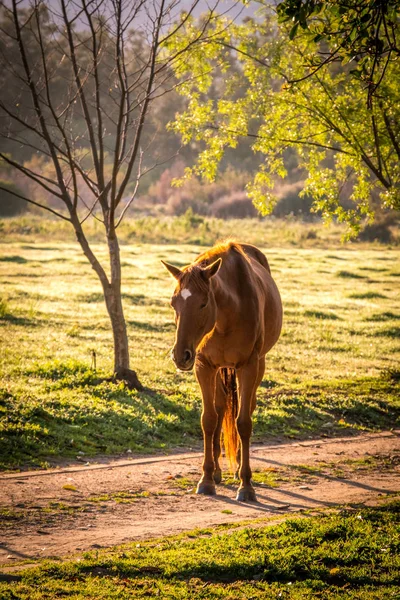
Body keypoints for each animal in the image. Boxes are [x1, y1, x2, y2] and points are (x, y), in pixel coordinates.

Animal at [161, 240, 282, 502]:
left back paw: (236, 471)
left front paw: (246, 485)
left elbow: (243, 422)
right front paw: (206, 479)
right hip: (218, 371)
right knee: (218, 408)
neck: (227, 317)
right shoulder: (204, 366)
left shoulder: (248, 366)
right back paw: (217, 471)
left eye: (203, 303)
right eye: (173, 303)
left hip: (258, 366)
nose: (180, 355)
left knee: (246, 407)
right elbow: (208, 419)